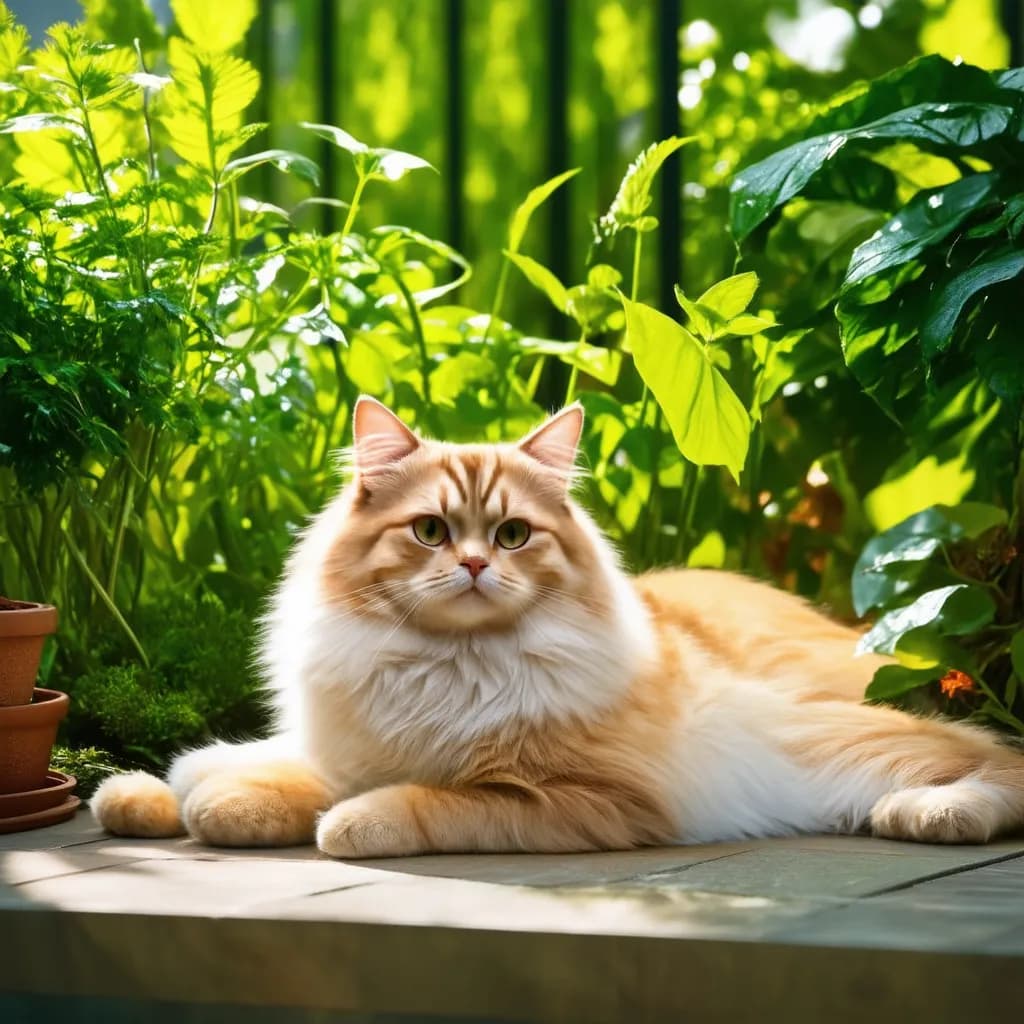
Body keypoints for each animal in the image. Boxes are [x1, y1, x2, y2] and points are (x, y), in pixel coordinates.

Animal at [90, 395, 1024, 851]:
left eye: (512, 535)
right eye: (430, 531)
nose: (474, 566)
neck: (444, 668)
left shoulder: (575, 799)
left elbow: (416, 804)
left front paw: (334, 825)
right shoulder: (345, 748)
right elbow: (229, 772)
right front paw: (153, 797)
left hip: (831, 737)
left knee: (993, 758)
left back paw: (929, 813)